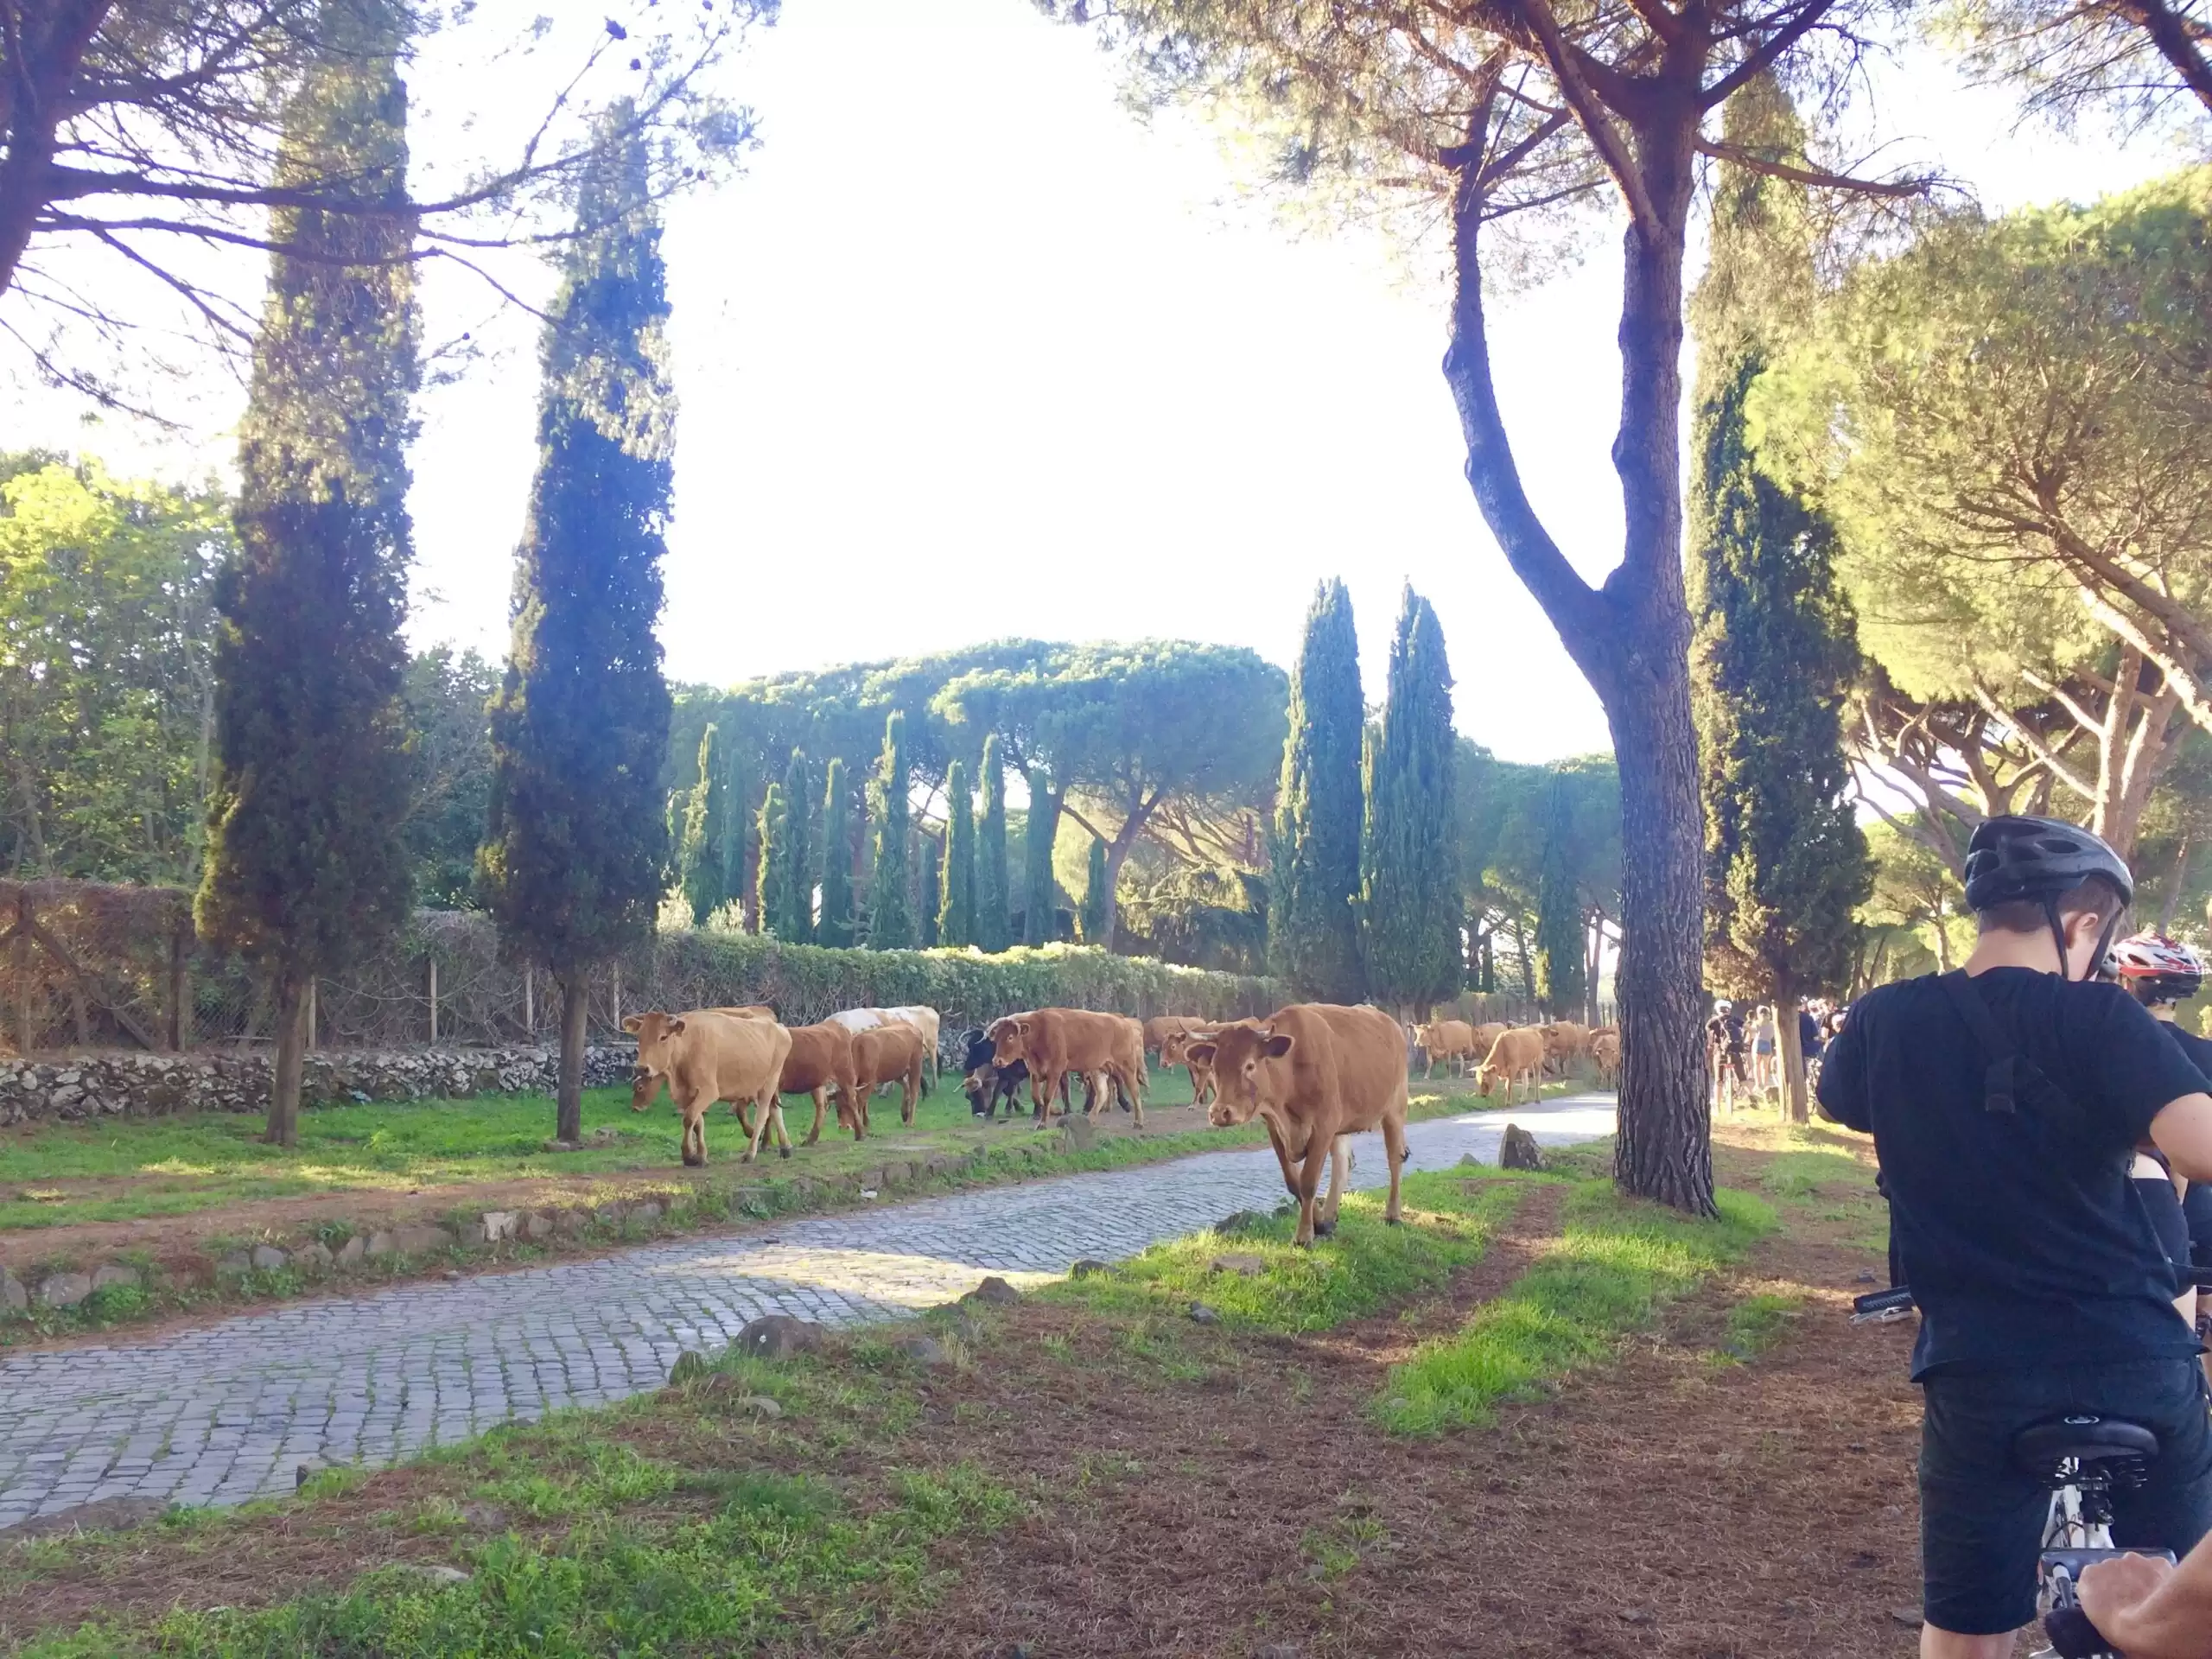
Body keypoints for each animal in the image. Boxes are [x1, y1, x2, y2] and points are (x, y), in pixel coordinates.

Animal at [623, 1013, 796, 1167]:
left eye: (663, 1037)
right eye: (639, 1037)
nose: (642, 1068)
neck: (687, 1046)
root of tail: (779, 1027)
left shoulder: (709, 1091)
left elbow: (689, 1118)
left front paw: (688, 1155)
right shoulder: (688, 1095)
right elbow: (697, 1122)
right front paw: (700, 1156)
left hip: (769, 1082)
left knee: (763, 1114)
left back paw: (750, 1154)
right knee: (775, 1110)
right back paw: (785, 1147)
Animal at [995, 1013, 1150, 1132]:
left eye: (1010, 1037)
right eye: (997, 1038)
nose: (997, 1061)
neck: (1040, 1032)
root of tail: (1123, 1022)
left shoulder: (1055, 1071)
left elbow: (1047, 1096)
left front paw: (1043, 1124)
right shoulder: (1035, 1073)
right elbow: (1036, 1096)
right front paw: (1053, 1111)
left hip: (1126, 1066)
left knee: (1134, 1091)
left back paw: (1139, 1122)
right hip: (1097, 1069)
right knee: (1102, 1092)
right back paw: (1090, 1119)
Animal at [1185, 1008, 1407, 1256]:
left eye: (1250, 1066)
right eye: (1214, 1068)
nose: (1219, 1112)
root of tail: (1391, 1023)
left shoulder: (1323, 1127)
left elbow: (1308, 1182)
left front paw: (1304, 1236)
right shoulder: (1275, 1129)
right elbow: (1293, 1181)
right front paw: (1319, 1223)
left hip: (1395, 1108)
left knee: (1394, 1158)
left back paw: (1392, 1214)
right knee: (1343, 1162)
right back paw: (1330, 1217)